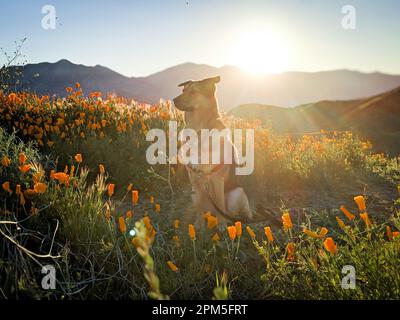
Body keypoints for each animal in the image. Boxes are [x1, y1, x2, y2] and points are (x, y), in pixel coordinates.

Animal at [172, 76, 253, 226]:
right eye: (183, 90)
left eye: (194, 92)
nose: (174, 100)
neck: (199, 130)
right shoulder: (194, 177)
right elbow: (199, 205)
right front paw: (199, 225)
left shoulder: (216, 177)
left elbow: (219, 202)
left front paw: (221, 226)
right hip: (194, 194)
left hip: (237, 193)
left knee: (236, 210)